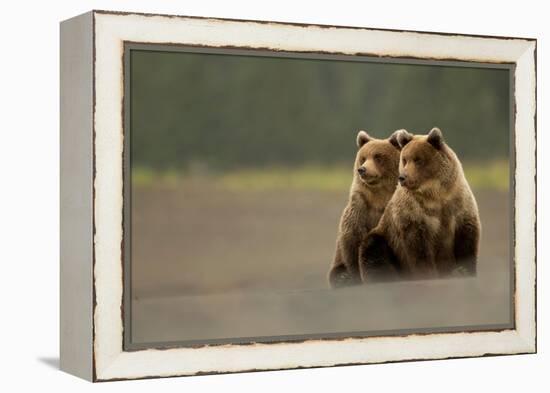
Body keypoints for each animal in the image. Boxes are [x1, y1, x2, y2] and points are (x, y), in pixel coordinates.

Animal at [330, 130, 404, 286]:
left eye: (378, 156)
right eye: (363, 158)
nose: (362, 169)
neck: (379, 198)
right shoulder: (360, 207)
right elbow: (353, 240)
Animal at [360, 127, 480, 280]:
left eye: (418, 160)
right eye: (404, 159)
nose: (402, 177)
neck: (435, 194)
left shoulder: (458, 203)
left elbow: (466, 240)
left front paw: (464, 270)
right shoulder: (413, 215)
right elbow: (418, 249)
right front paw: (428, 274)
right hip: (385, 240)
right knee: (373, 249)